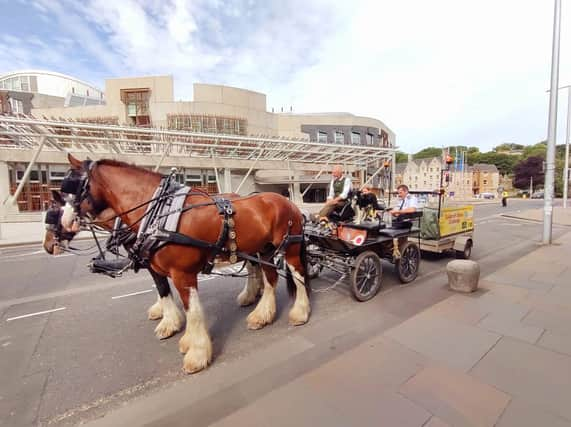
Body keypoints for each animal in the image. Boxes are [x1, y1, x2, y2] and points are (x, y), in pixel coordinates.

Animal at [60, 155, 310, 374]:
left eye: (75, 186)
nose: (64, 222)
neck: (159, 214)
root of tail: (288, 201)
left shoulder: (183, 273)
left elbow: (193, 309)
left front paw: (197, 353)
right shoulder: (159, 268)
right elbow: (166, 293)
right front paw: (178, 331)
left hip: (289, 248)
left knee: (297, 276)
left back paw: (300, 311)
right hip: (264, 250)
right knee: (269, 277)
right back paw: (262, 313)